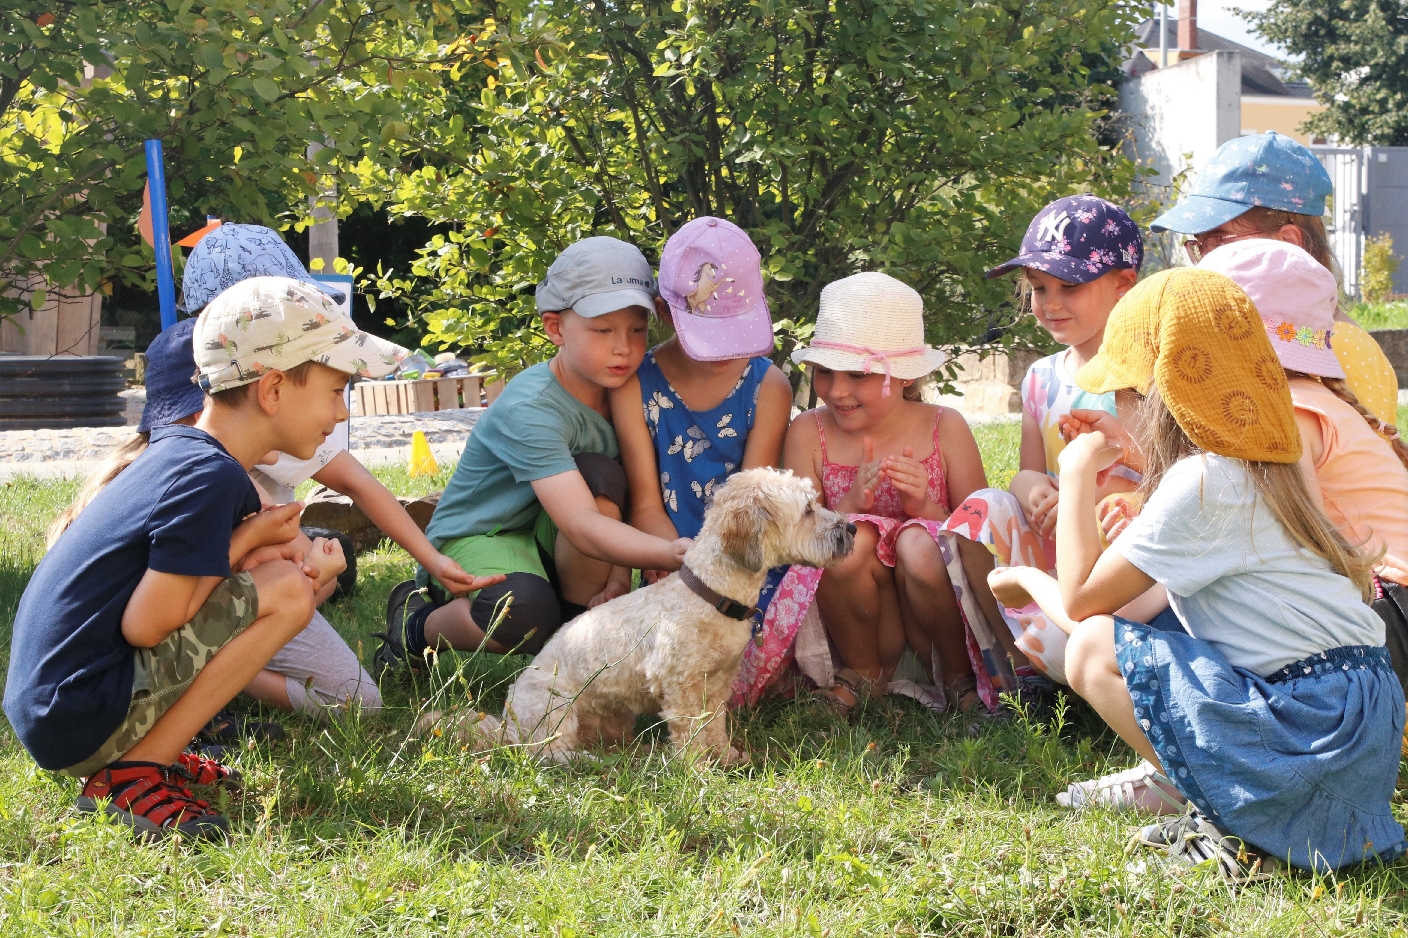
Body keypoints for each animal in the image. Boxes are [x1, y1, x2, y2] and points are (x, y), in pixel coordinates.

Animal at [416, 464, 850, 760]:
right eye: (808, 510)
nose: (851, 529)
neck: (711, 593)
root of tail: (508, 726)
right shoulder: (681, 686)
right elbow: (691, 732)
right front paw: (699, 770)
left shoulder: (716, 685)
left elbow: (714, 726)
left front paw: (725, 756)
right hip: (554, 708)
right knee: (547, 753)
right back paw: (585, 760)